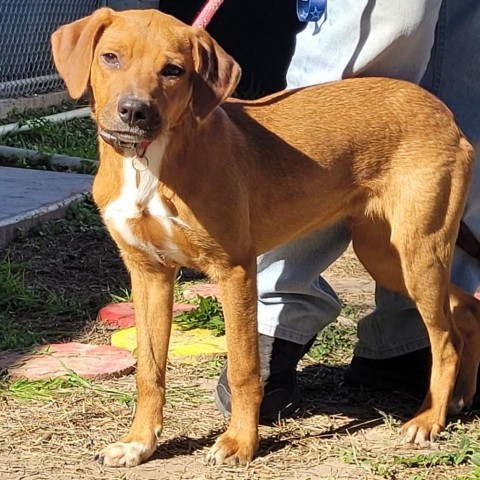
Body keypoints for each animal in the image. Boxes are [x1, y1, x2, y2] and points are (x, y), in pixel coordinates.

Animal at [52, 6, 480, 464]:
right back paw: (460, 398)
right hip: (386, 256)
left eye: (173, 70)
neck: (148, 163)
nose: (134, 111)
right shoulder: (149, 273)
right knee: (467, 310)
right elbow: (149, 370)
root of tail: (444, 113)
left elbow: (244, 367)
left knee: (445, 340)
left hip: (419, 250)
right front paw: (139, 443)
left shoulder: (234, 269)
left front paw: (241, 441)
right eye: (111, 57)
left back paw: (429, 419)